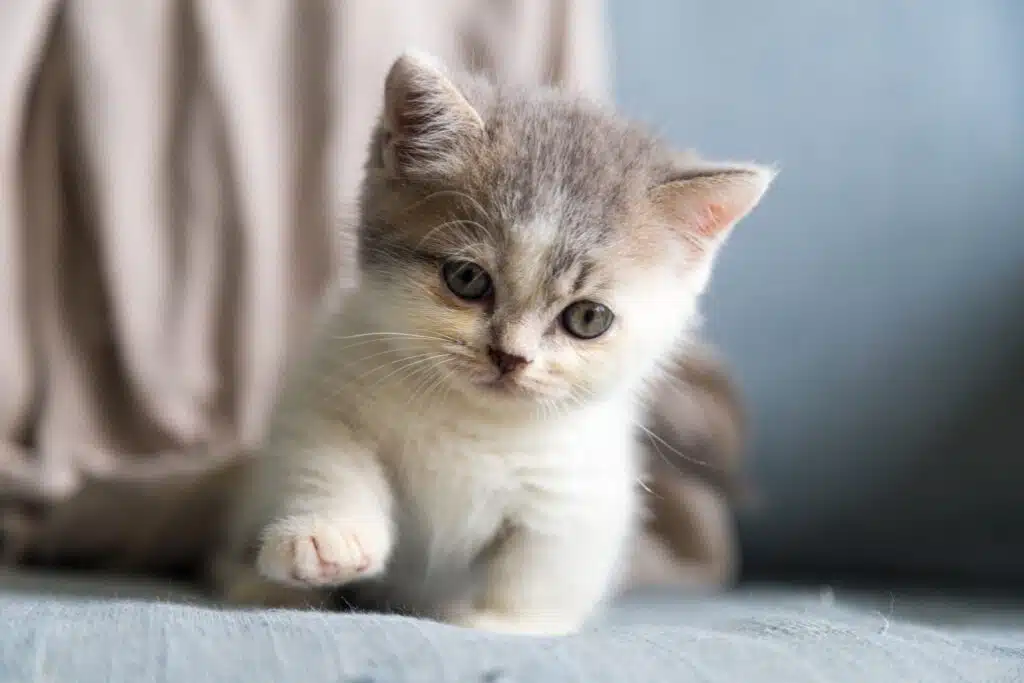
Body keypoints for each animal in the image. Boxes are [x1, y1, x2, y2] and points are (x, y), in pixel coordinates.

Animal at [216, 52, 774, 634]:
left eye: (588, 318)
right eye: (466, 279)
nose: (510, 356)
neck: (472, 419)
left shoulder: (576, 490)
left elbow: (537, 562)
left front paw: (499, 622)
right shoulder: (327, 395)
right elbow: (327, 460)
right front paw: (328, 537)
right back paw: (257, 584)